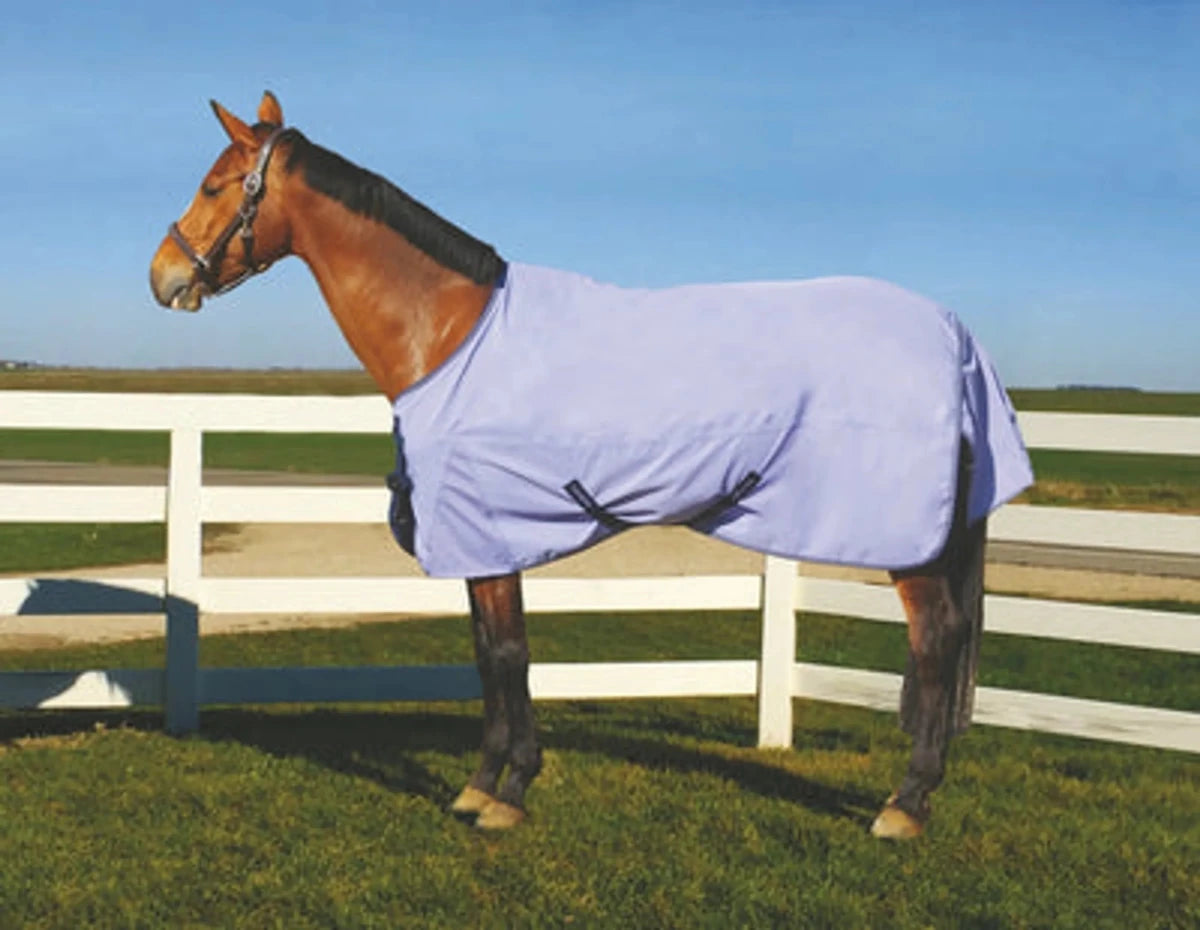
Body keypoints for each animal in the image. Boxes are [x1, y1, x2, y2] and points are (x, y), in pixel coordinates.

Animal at [150, 92, 1033, 839]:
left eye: (215, 184)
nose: (163, 275)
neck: (449, 331)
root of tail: (952, 332)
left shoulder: (490, 532)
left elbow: (508, 654)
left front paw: (508, 794)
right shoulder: (483, 542)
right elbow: (487, 653)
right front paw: (480, 785)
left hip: (905, 543)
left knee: (935, 638)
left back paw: (905, 805)